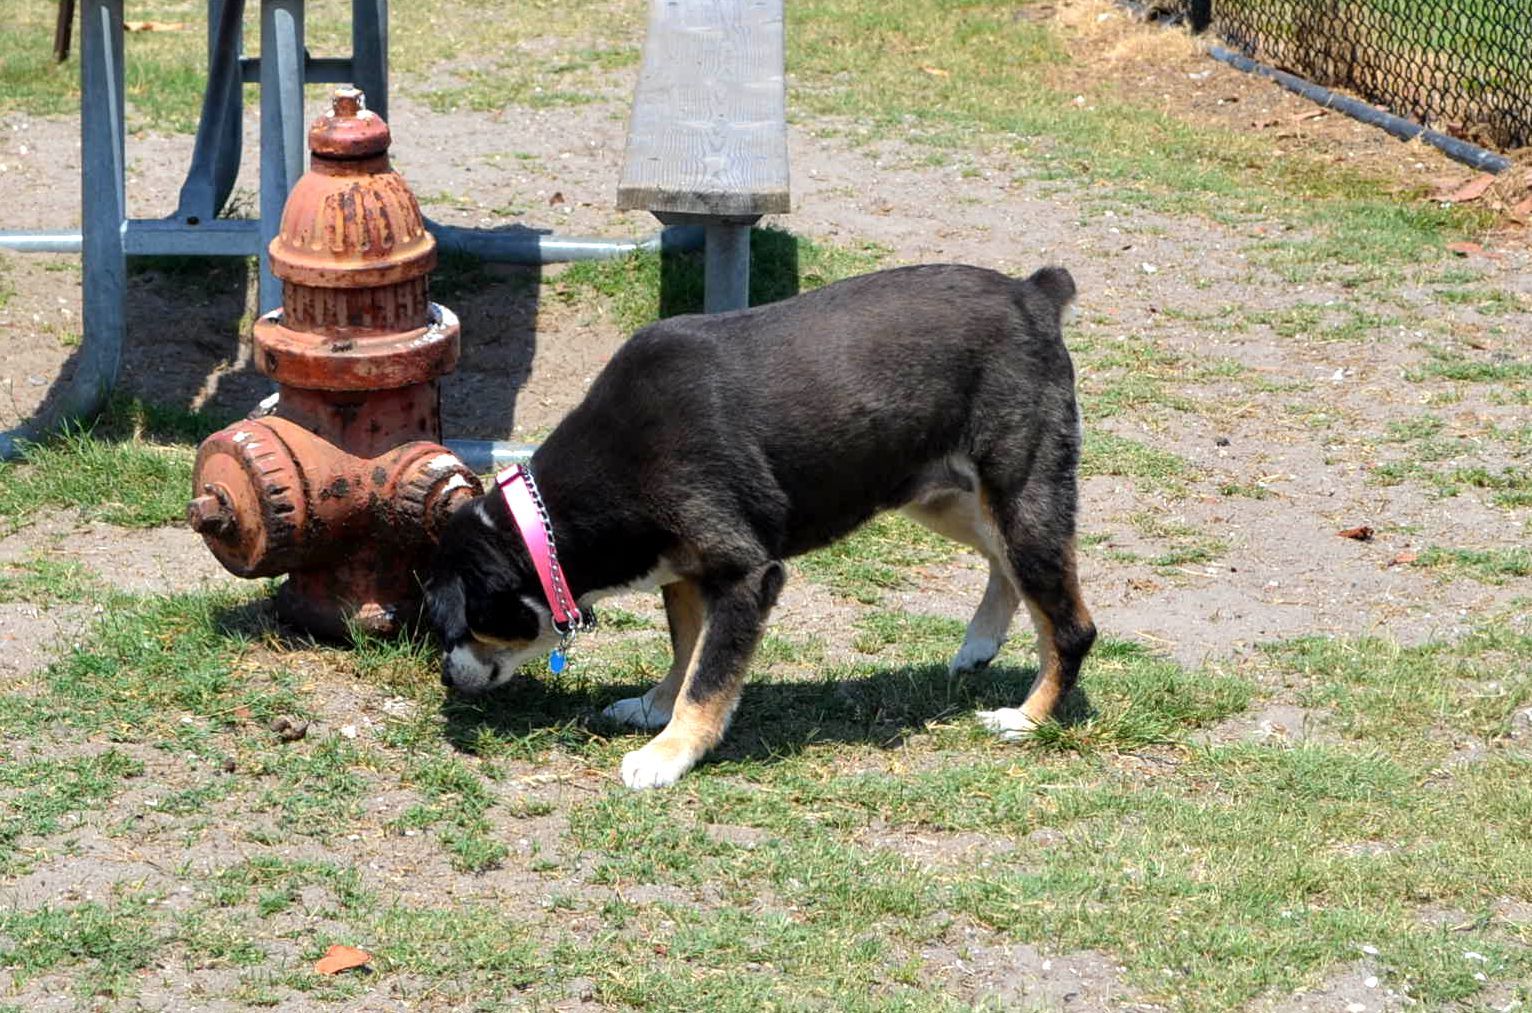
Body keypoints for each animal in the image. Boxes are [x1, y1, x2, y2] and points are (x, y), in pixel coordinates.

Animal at [424, 263, 1097, 789]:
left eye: (461, 625)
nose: (446, 678)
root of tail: (1034, 294)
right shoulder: (688, 575)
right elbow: (687, 653)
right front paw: (654, 706)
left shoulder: (746, 576)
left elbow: (709, 677)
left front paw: (669, 754)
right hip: (944, 496)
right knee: (1006, 567)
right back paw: (979, 644)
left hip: (1021, 498)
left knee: (1071, 624)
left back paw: (1027, 717)